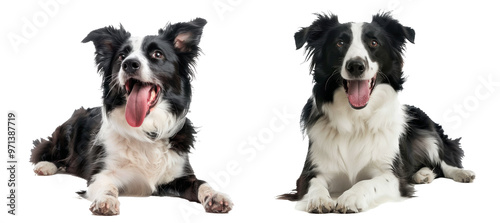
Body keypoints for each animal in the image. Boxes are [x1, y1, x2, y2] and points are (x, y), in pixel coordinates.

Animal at [30, 18, 233, 215]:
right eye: (122, 56)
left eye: (157, 54)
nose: (129, 64)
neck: (147, 129)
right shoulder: (100, 174)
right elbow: (108, 186)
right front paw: (106, 200)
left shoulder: (181, 175)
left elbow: (202, 184)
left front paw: (216, 196)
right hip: (69, 127)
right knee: (50, 151)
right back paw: (46, 166)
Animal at [280, 13, 474, 213]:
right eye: (340, 43)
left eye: (374, 43)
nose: (355, 66)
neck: (356, 119)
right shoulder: (310, 173)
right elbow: (315, 184)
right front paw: (318, 199)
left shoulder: (392, 175)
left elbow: (366, 183)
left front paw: (350, 196)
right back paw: (422, 174)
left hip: (428, 132)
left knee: (444, 159)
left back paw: (460, 172)